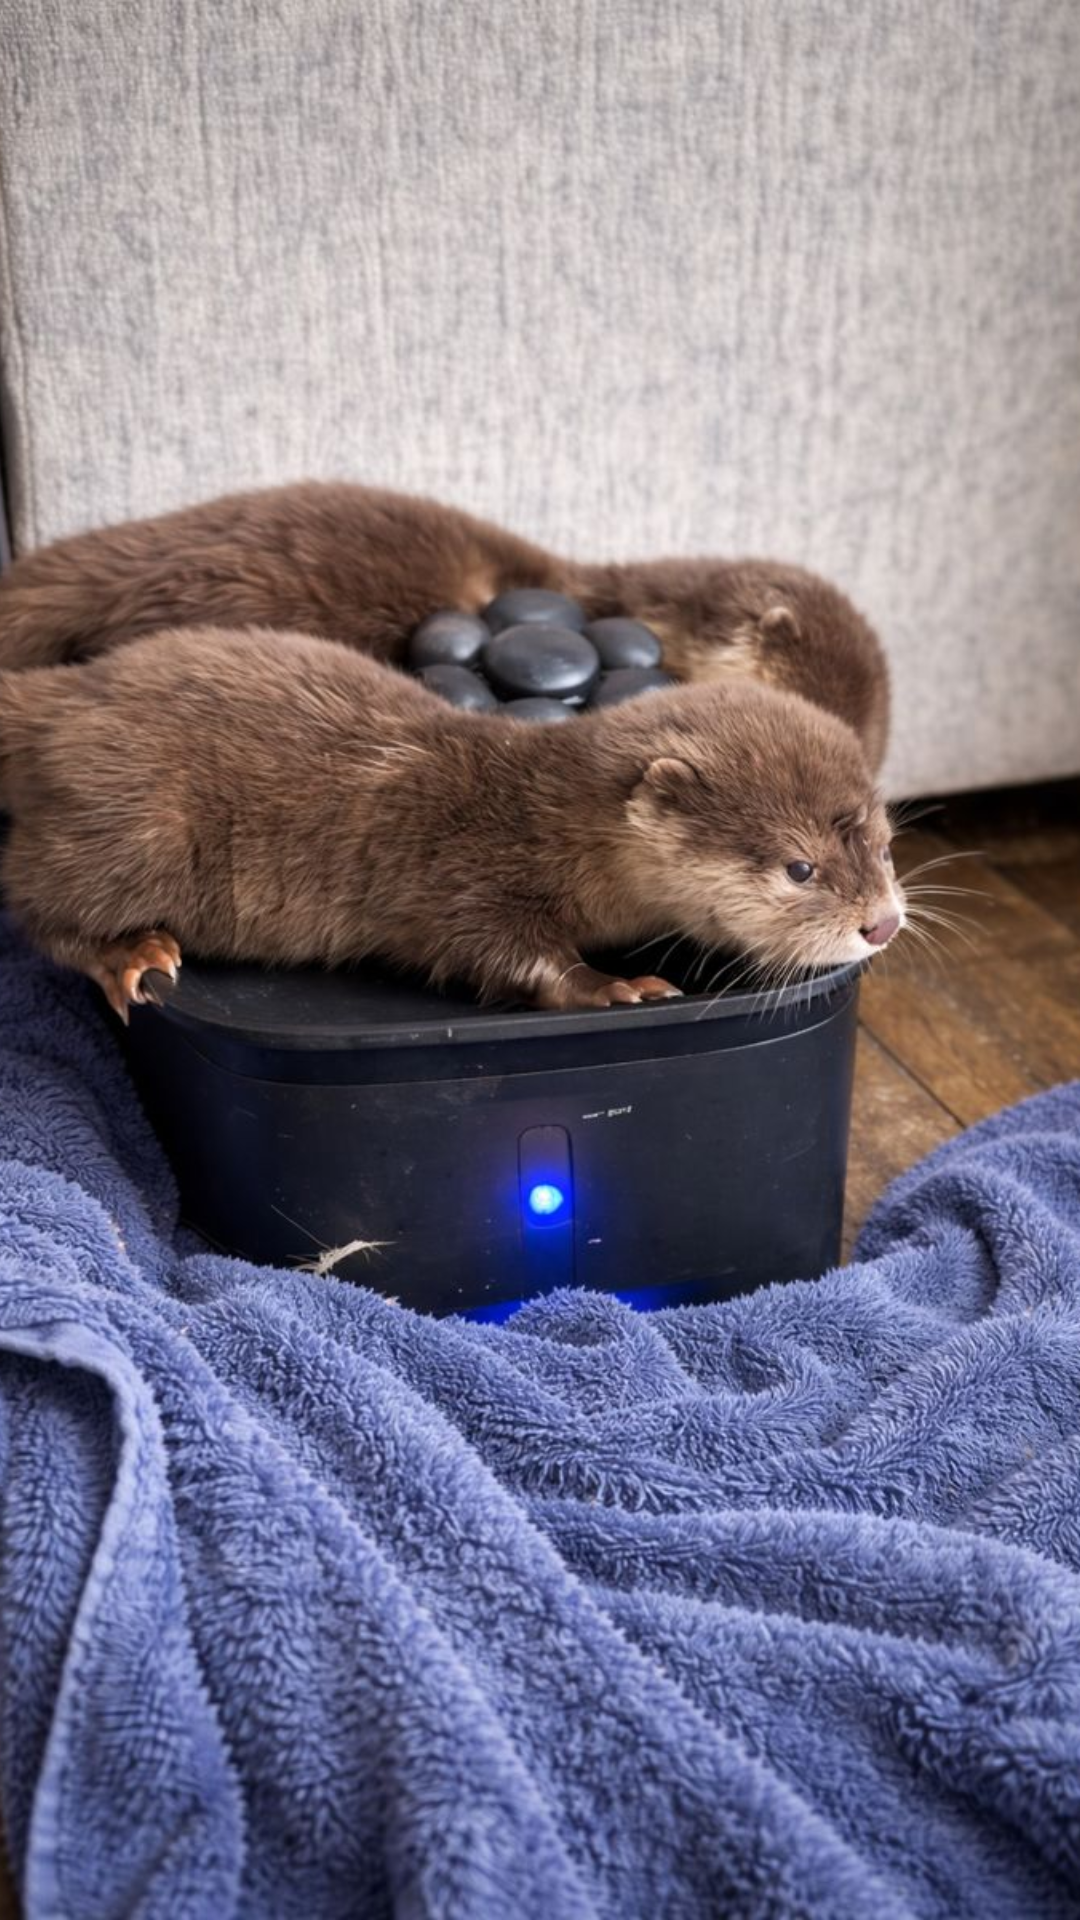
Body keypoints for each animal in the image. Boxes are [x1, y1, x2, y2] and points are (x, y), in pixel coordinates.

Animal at [0, 626, 904, 1020]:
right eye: (799, 867)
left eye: (886, 847)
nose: (884, 926)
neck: (545, 823)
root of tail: (62, 698)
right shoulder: (463, 872)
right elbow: (490, 948)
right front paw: (614, 986)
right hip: (134, 826)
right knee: (36, 906)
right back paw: (132, 955)